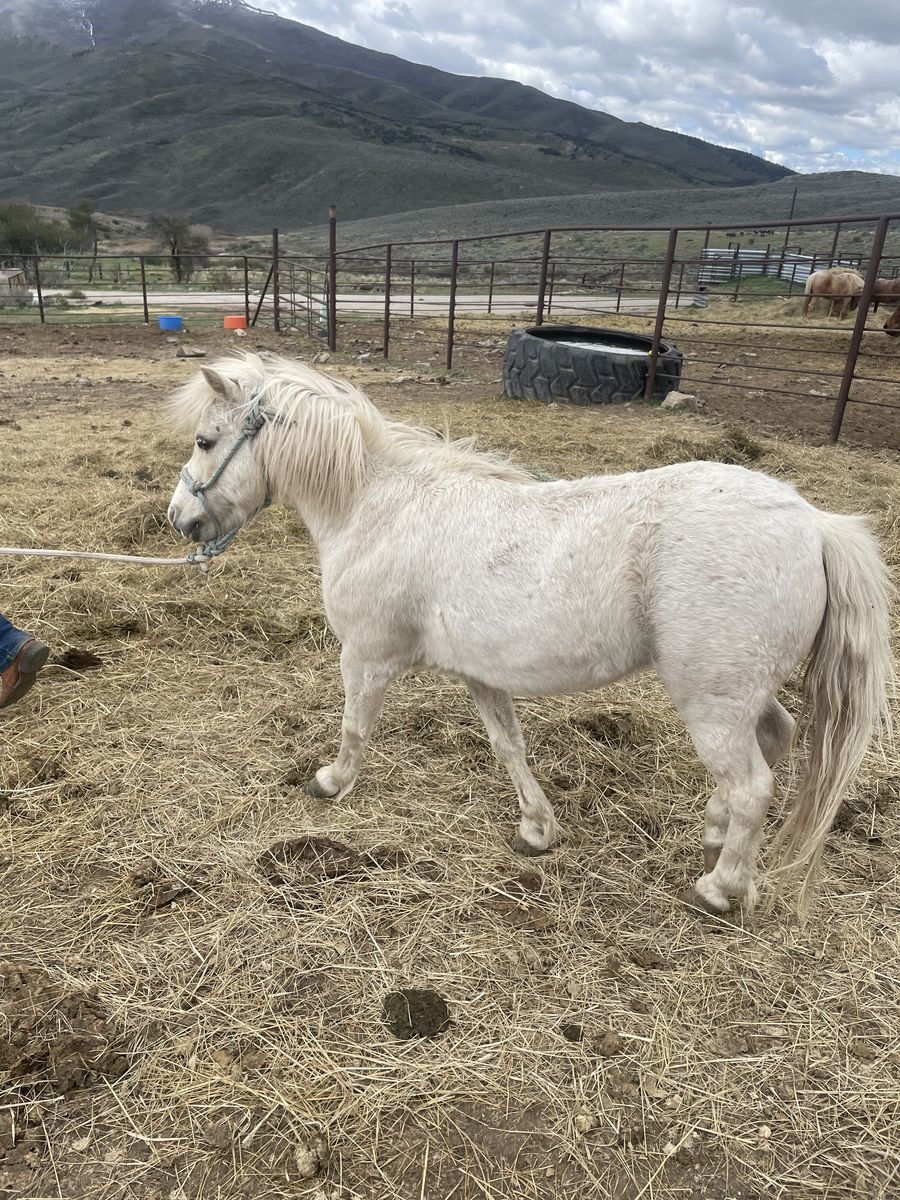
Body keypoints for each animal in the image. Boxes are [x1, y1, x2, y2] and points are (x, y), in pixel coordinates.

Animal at [166, 354, 893, 917]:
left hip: (712, 700)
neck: (380, 506)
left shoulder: (366, 656)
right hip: (738, 694)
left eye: (204, 440)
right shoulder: (480, 673)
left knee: (752, 786)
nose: (179, 521)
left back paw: (719, 888)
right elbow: (508, 747)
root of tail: (813, 522)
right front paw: (536, 828)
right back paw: (715, 834)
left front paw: (331, 781)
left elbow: (355, 727)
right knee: (775, 739)